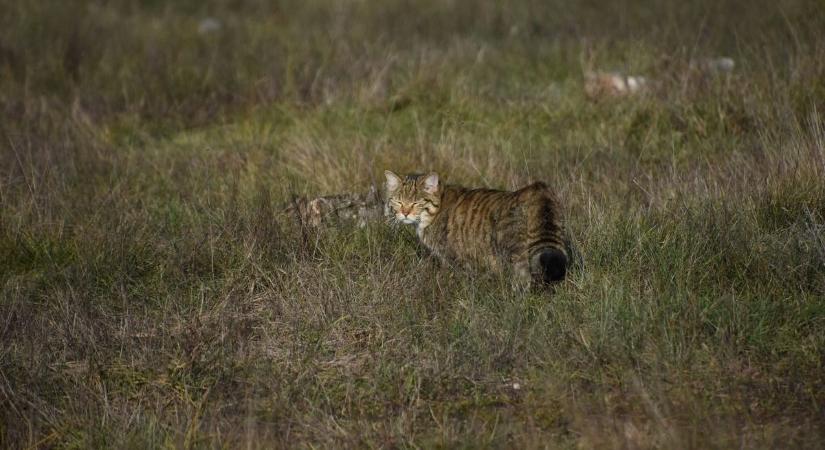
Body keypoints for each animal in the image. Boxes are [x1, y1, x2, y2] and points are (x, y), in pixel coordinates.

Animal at [384, 171, 568, 286]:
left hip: (515, 255)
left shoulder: (453, 259)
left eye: (416, 202)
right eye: (398, 201)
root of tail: (534, 189)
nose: (405, 213)